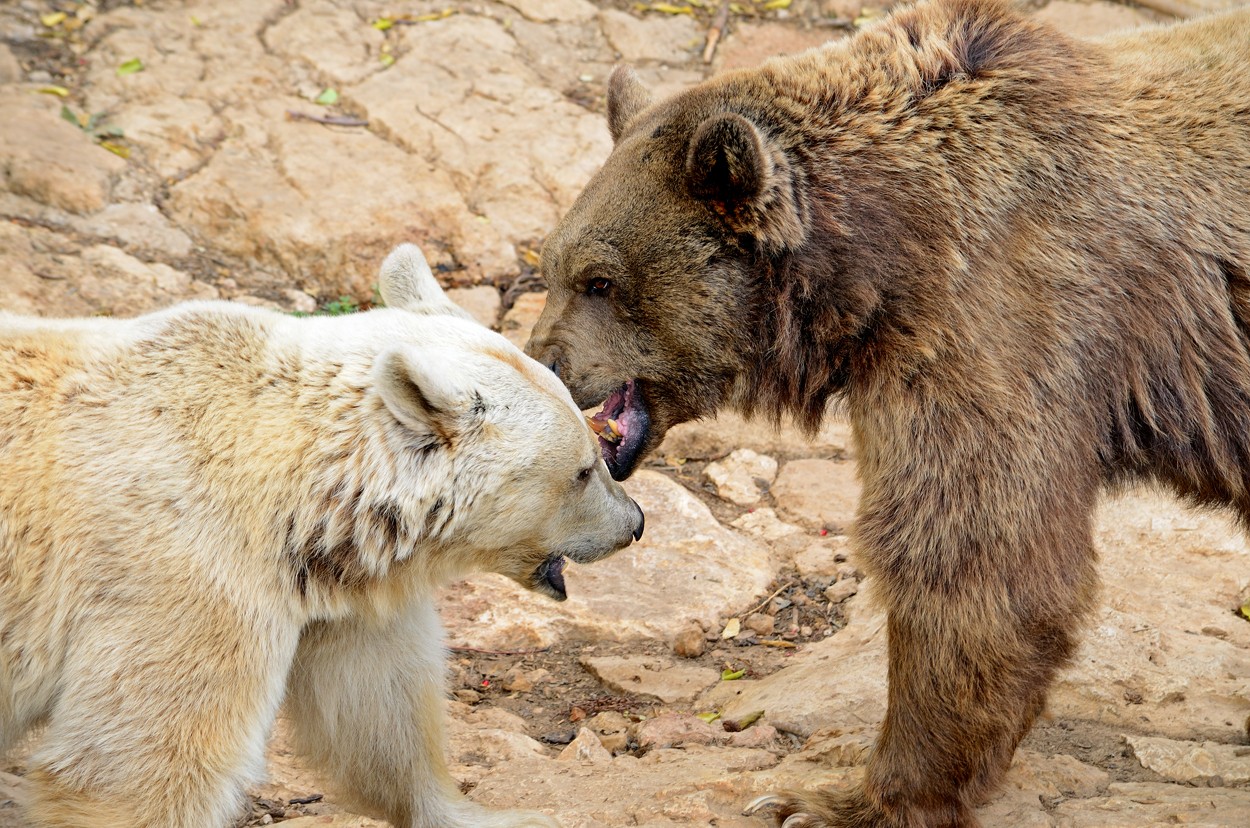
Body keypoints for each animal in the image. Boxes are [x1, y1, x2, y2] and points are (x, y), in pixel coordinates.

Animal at [0, 245, 645, 828]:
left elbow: (376, 704)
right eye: (583, 469)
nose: (635, 523)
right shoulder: (187, 575)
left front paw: (483, 813)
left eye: (596, 446)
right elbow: (139, 764)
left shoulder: (334, 586)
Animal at [522, 0, 1250, 825]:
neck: (878, 267)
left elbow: (974, 558)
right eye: (551, 265)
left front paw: (835, 799)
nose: (544, 360)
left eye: (600, 280)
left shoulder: (1000, 321)